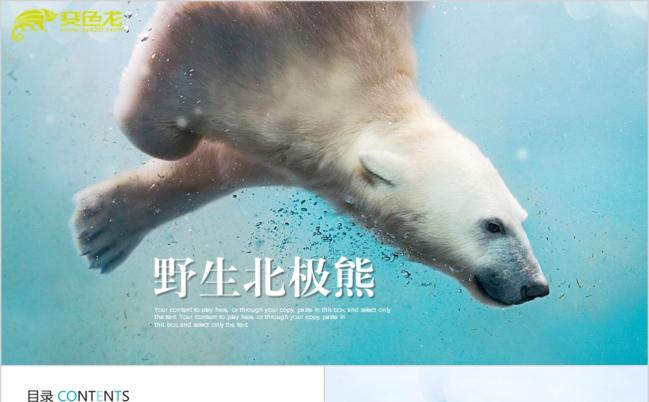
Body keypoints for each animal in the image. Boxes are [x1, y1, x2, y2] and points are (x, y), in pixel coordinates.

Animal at [72, 2, 549, 306]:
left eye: (520, 219)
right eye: (493, 225)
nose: (536, 287)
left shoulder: (294, 145)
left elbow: (231, 160)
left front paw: (104, 227)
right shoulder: (263, 39)